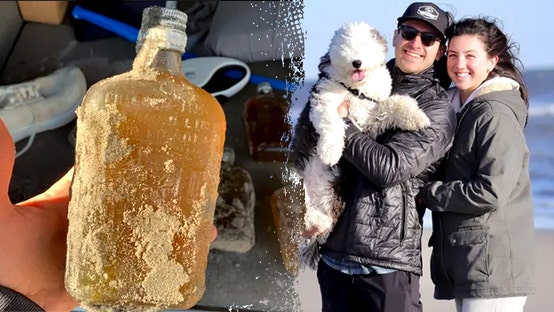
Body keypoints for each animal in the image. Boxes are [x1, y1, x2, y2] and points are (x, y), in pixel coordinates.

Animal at [298, 21, 432, 268]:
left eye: (366, 46)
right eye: (346, 46)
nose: (357, 62)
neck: (355, 89)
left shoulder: (370, 118)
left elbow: (395, 104)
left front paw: (417, 117)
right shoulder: (324, 99)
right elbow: (331, 122)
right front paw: (329, 152)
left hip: (332, 199)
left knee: (322, 223)